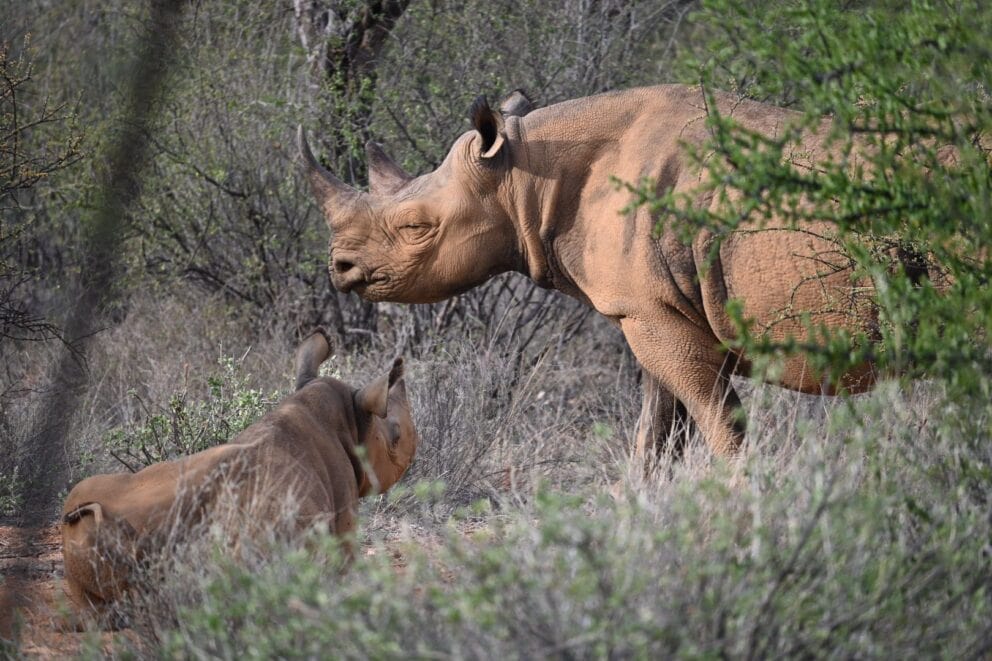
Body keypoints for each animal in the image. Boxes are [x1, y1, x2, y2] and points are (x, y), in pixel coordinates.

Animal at [298, 84, 892, 461]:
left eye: (417, 227)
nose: (339, 268)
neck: (523, 174)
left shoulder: (653, 313)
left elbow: (720, 423)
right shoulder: (658, 310)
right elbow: (657, 433)